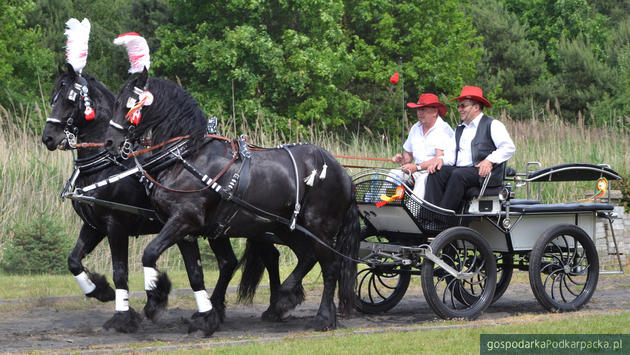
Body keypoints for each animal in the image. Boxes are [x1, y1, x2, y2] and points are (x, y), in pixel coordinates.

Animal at [42, 64, 284, 336]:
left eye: (69, 99)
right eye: (53, 98)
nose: (48, 138)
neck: (107, 164)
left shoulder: (116, 225)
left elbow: (120, 272)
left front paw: (124, 316)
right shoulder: (94, 225)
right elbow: (73, 261)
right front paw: (101, 290)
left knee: (268, 257)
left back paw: (275, 306)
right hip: (220, 229)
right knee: (230, 262)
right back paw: (220, 309)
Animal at [103, 69, 360, 330]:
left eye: (128, 104)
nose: (110, 142)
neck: (188, 157)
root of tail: (342, 172)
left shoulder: (184, 219)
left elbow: (149, 253)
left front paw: (156, 299)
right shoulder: (184, 229)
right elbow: (194, 273)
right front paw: (205, 315)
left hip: (320, 228)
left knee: (330, 267)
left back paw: (322, 317)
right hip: (286, 227)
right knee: (307, 257)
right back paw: (282, 302)